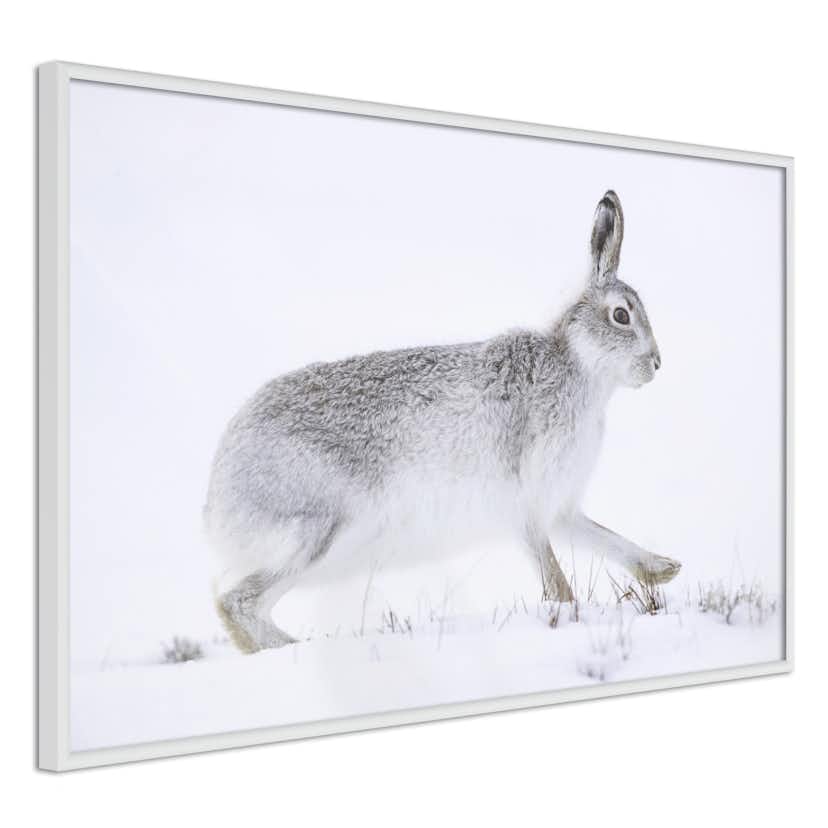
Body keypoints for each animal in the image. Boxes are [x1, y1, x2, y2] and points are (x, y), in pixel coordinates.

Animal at [204, 190, 681, 653]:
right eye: (621, 315)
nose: (657, 363)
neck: (578, 365)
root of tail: (218, 496)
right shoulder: (526, 501)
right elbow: (554, 575)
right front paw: (570, 615)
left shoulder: (559, 506)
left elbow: (602, 537)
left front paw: (663, 569)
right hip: (317, 531)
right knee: (237, 603)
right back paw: (298, 649)